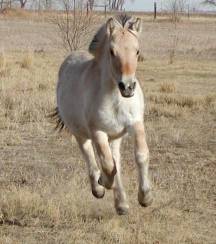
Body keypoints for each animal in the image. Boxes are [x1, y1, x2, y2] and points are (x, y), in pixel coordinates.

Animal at [52, 14, 154, 214]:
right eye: (112, 51)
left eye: (137, 51)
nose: (127, 87)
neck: (115, 98)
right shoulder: (98, 132)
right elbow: (106, 164)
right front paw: (103, 182)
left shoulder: (135, 123)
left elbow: (140, 155)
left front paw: (145, 198)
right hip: (81, 134)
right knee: (91, 156)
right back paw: (99, 189)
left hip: (115, 136)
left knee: (117, 162)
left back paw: (121, 204)